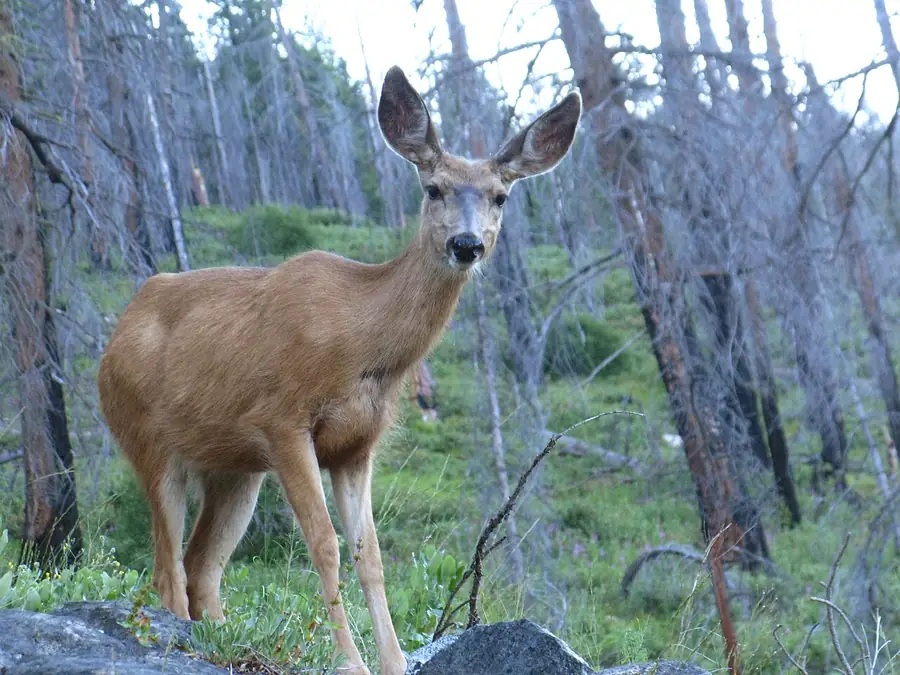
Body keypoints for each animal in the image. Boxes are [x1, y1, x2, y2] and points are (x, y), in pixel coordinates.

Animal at [97, 66, 581, 675]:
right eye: (433, 188)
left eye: (500, 196)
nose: (466, 243)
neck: (361, 341)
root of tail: (115, 338)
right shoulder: (282, 420)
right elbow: (324, 544)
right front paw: (350, 662)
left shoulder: (357, 446)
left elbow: (369, 554)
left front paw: (393, 662)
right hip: (147, 439)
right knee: (166, 569)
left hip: (236, 470)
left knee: (201, 566)